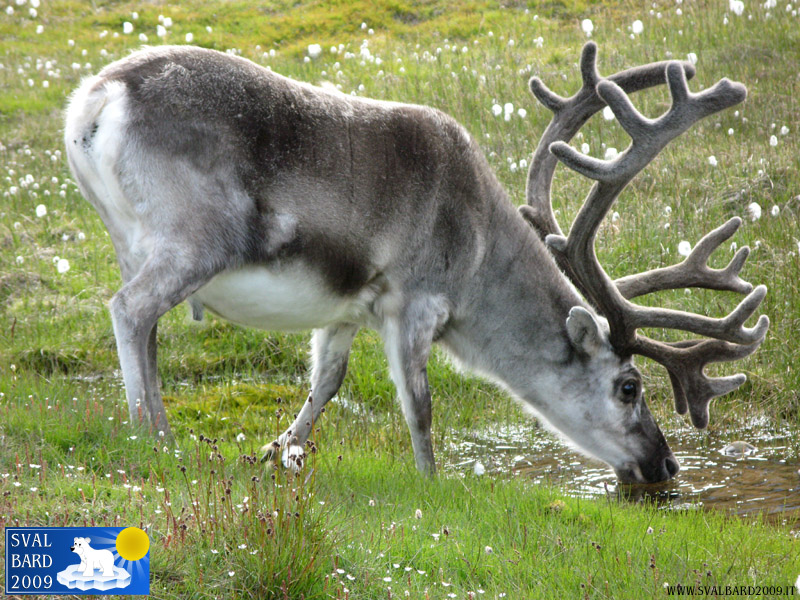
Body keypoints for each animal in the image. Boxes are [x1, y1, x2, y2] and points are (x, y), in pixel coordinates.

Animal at [64, 41, 768, 484]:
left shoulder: (346, 307)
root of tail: (97, 98)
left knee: (148, 329)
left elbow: (327, 382)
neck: (482, 256)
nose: (665, 464)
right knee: (130, 311)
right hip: (198, 239)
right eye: (628, 386)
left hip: (129, 239)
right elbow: (420, 408)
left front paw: (277, 451)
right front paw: (433, 483)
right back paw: (156, 439)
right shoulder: (414, 300)